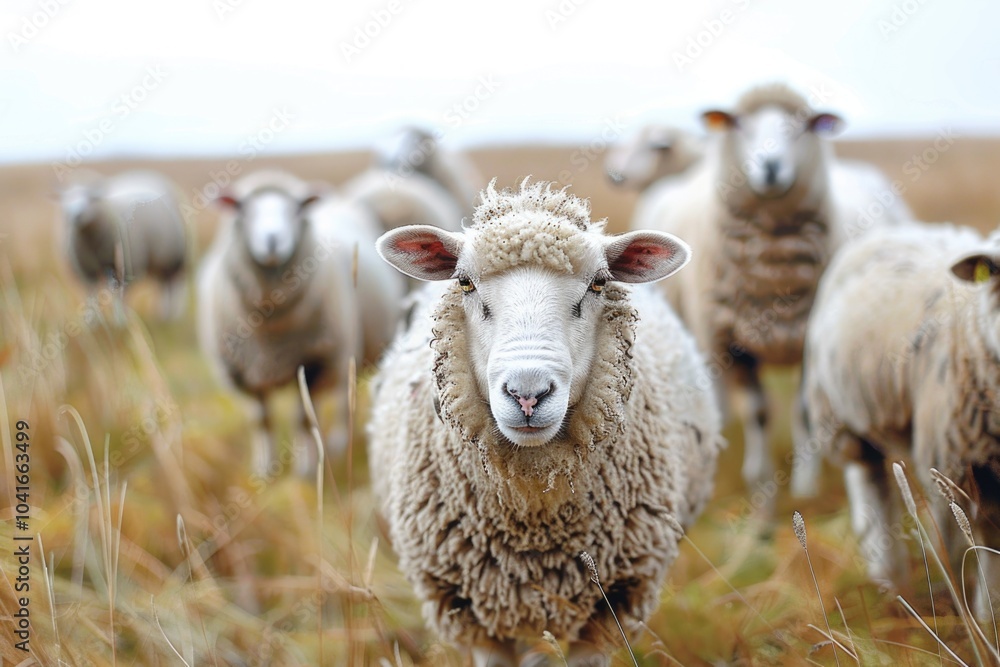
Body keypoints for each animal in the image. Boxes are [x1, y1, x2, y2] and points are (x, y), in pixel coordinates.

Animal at [59, 170, 188, 320]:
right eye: (66, 201)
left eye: (90, 198)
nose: (76, 215)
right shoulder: (86, 272)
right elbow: (91, 298)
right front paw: (92, 321)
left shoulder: (127, 269)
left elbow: (121, 298)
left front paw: (121, 319)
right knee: (163, 286)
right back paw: (162, 314)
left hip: (172, 259)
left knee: (174, 286)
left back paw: (171, 316)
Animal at [197, 169, 405, 475]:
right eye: (244, 209)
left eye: (296, 209)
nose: (272, 240)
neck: (270, 322)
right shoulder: (243, 372)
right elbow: (262, 420)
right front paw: (265, 470)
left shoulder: (314, 362)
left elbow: (304, 419)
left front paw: (305, 471)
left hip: (344, 355)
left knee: (343, 400)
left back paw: (339, 444)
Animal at [369, 179, 724, 666]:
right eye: (464, 282)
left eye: (598, 283)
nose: (527, 394)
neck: (533, 513)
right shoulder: (466, 606)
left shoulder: (612, 601)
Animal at [640, 83, 910, 496]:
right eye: (740, 124)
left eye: (802, 126)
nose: (770, 167)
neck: (772, 273)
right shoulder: (728, 344)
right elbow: (758, 412)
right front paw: (759, 478)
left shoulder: (807, 342)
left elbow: (803, 414)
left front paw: (805, 485)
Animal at [797, 223, 1000, 620]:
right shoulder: (970, 467)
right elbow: (989, 541)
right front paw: (989, 617)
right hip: (843, 417)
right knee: (872, 485)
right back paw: (889, 580)